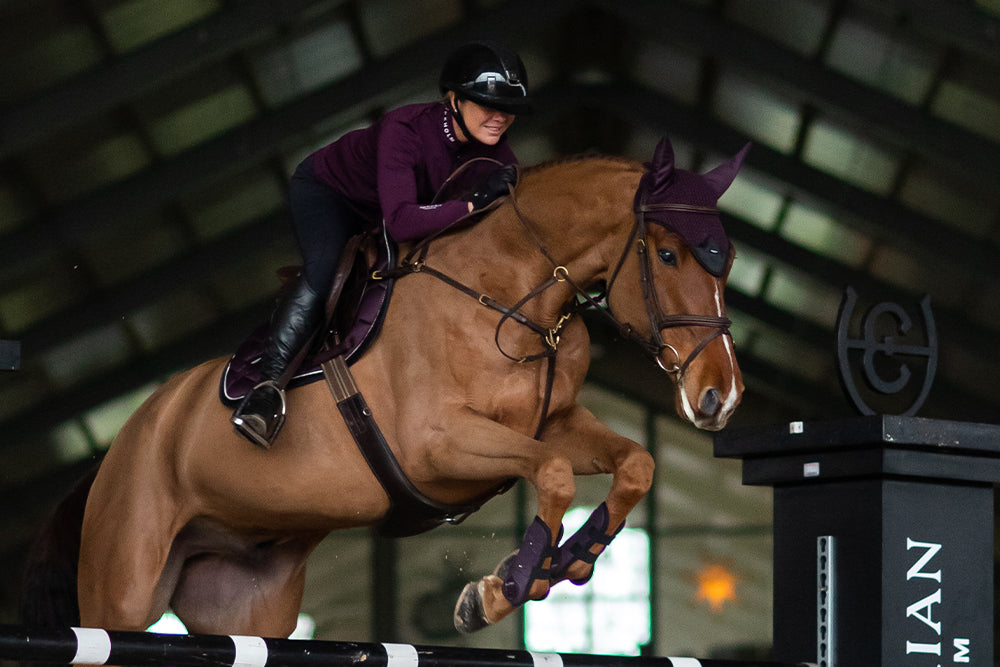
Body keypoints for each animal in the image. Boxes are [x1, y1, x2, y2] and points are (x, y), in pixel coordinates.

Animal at [19, 137, 748, 640]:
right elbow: (556, 473)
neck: (512, 292)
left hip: (245, 606)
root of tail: (119, 448)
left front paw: (570, 561)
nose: (722, 396)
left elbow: (634, 463)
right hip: (122, 585)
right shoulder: (439, 446)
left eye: (727, 259)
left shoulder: (554, 422)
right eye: (668, 254)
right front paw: (498, 590)